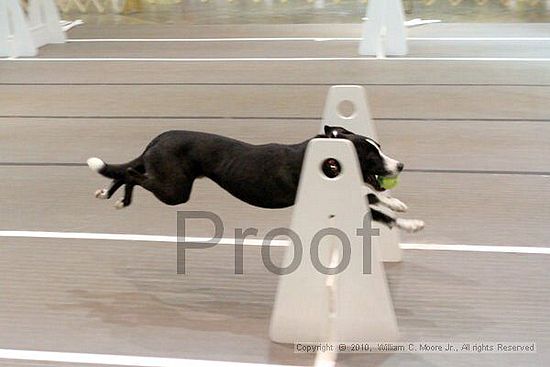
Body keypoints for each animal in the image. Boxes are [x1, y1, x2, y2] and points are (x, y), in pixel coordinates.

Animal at [88, 125, 424, 231]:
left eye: (380, 147)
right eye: (371, 155)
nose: (401, 165)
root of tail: (158, 138)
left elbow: (374, 197)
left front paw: (397, 203)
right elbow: (377, 207)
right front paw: (410, 223)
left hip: (165, 178)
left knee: (129, 172)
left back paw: (112, 197)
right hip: (175, 190)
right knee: (131, 173)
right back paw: (119, 198)